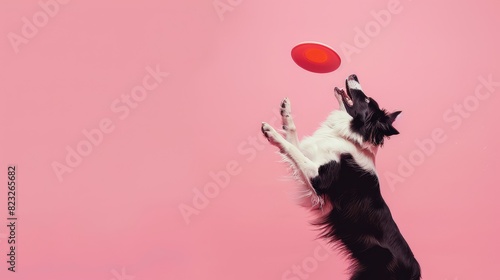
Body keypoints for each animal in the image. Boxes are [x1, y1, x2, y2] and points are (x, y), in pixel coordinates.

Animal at [262, 74, 422, 280]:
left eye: (367, 100)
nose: (354, 75)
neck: (351, 137)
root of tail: (414, 272)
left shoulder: (318, 181)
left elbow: (291, 149)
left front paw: (272, 133)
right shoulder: (312, 155)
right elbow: (293, 137)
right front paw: (285, 112)